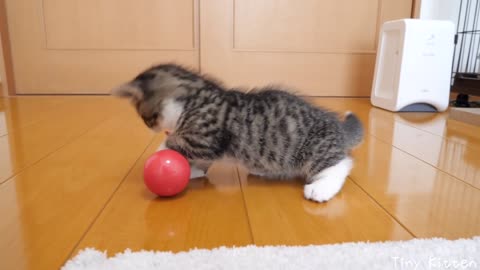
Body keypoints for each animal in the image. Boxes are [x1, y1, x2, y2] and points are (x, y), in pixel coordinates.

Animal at [112, 63, 362, 202]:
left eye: (146, 117)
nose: (150, 126)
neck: (194, 100)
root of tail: (338, 127)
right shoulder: (206, 147)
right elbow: (200, 160)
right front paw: (193, 170)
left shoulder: (204, 139)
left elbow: (177, 144)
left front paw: (160, 152)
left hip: (315, 148)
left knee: (341, 164)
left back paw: (321, 188)